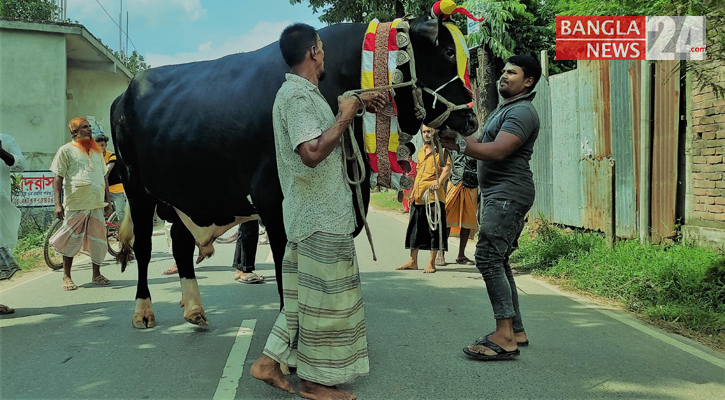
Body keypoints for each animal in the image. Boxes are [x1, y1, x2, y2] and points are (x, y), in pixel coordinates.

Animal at [110, 16, 478, 328]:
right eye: (447, 52)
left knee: (180, 243)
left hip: (184, 196)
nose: (473, 119)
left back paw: (195, 309)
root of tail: (123, 93)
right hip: (136, 188)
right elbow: (286, 269)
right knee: (145, 247)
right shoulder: (273, 201)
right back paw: (143, 311)